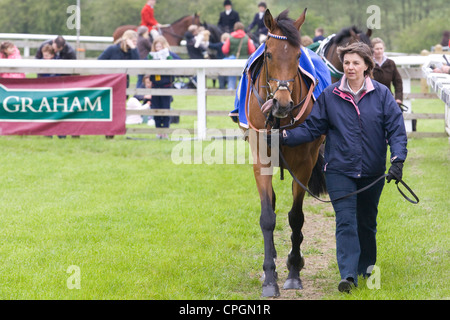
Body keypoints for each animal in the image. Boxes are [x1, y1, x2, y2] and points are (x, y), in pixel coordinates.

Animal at [244, 8, 326, 298]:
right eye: (268, 53)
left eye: (298, 55)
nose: (281, 103)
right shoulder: (261, 159)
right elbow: (268, 216)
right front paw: (270, 277)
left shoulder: (304, 164)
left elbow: (296, 217)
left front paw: (293, 271)